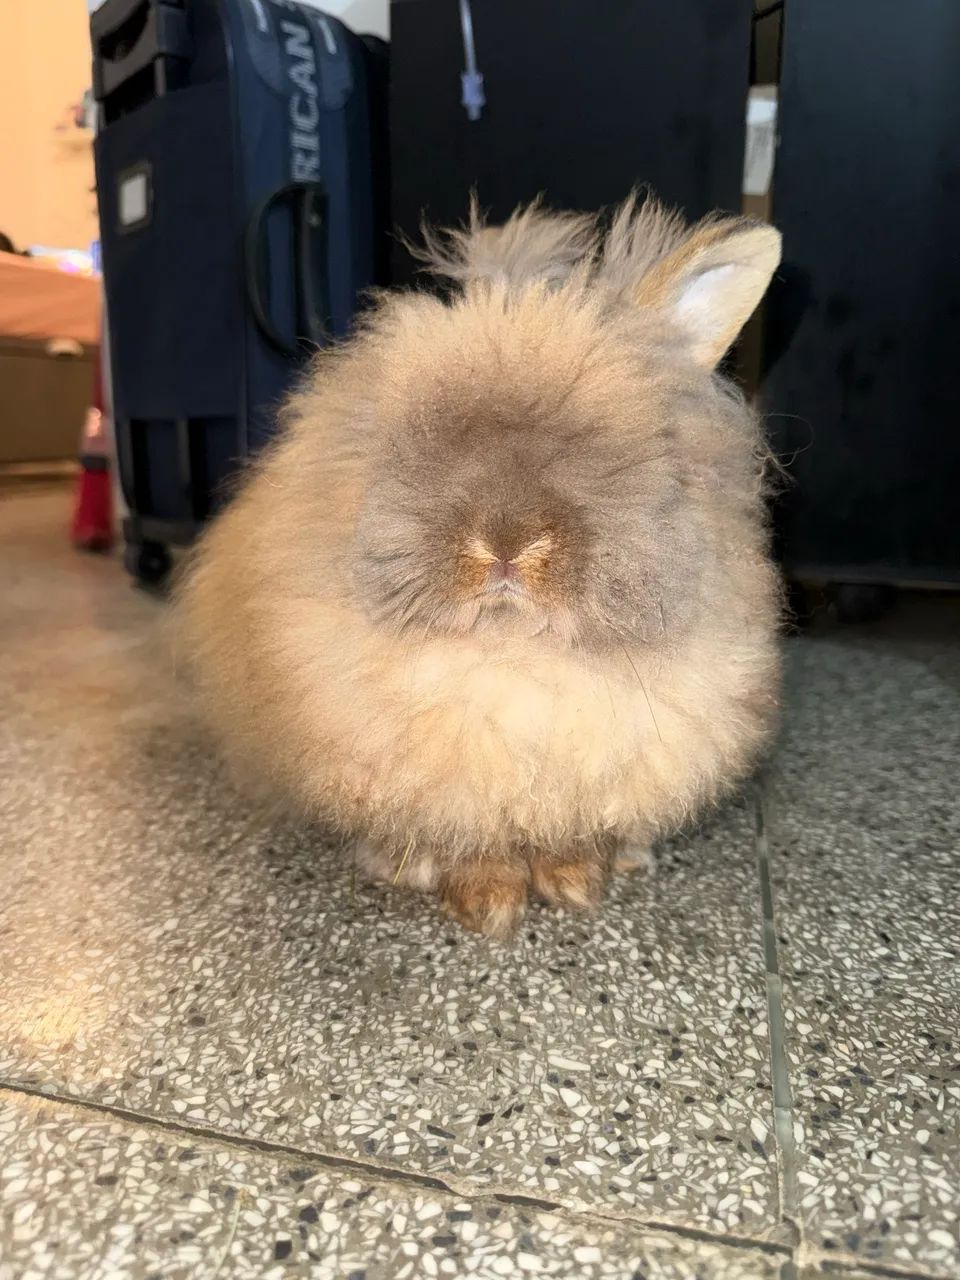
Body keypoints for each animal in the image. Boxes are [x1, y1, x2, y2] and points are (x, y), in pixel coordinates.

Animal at [177, 193, 783, 937]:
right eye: (413, 434)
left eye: (622, 445)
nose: (507, 540)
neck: (513, 652)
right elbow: (471, 837)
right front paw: (488, 901)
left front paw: (574, 882)